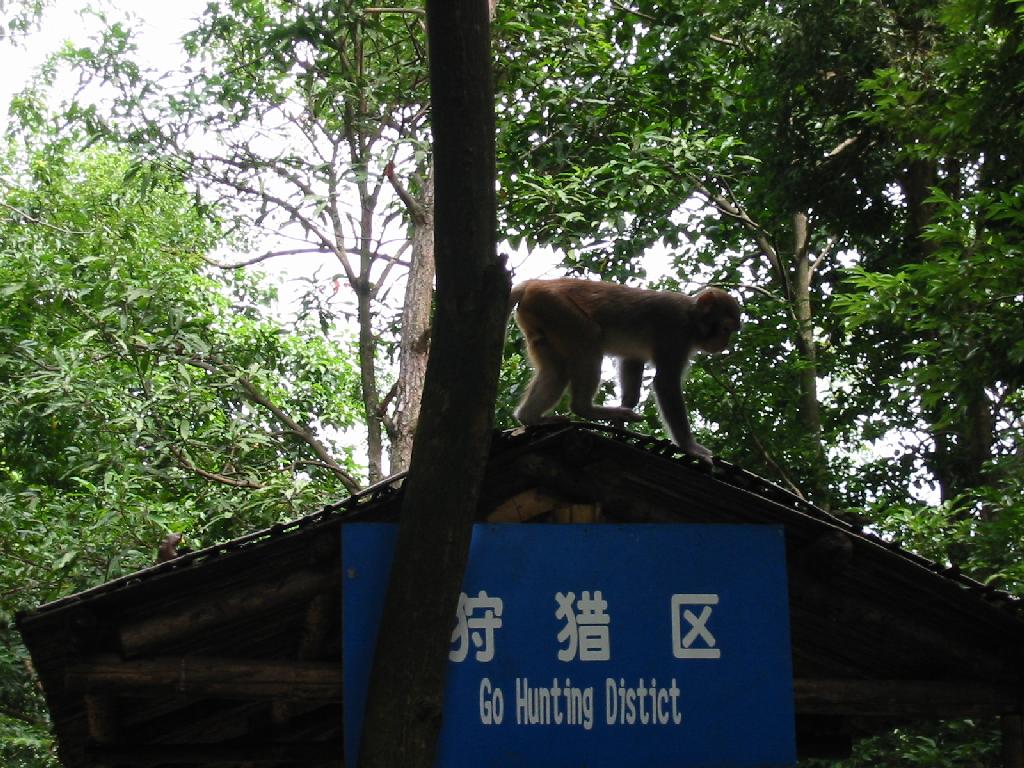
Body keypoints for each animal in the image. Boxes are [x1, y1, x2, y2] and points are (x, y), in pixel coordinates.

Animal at [508, 278, 741, 462]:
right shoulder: (676, 332)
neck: (692, 318)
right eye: (725, 329)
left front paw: (622, 417)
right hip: (555, 305)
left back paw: (531, 418)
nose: (724, 344)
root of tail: (534, 283)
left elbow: (632, 361)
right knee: (589, 336)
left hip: (541, 319)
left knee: (557, 371)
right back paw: (585, 408)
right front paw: (689, 447)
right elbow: (665, 383)